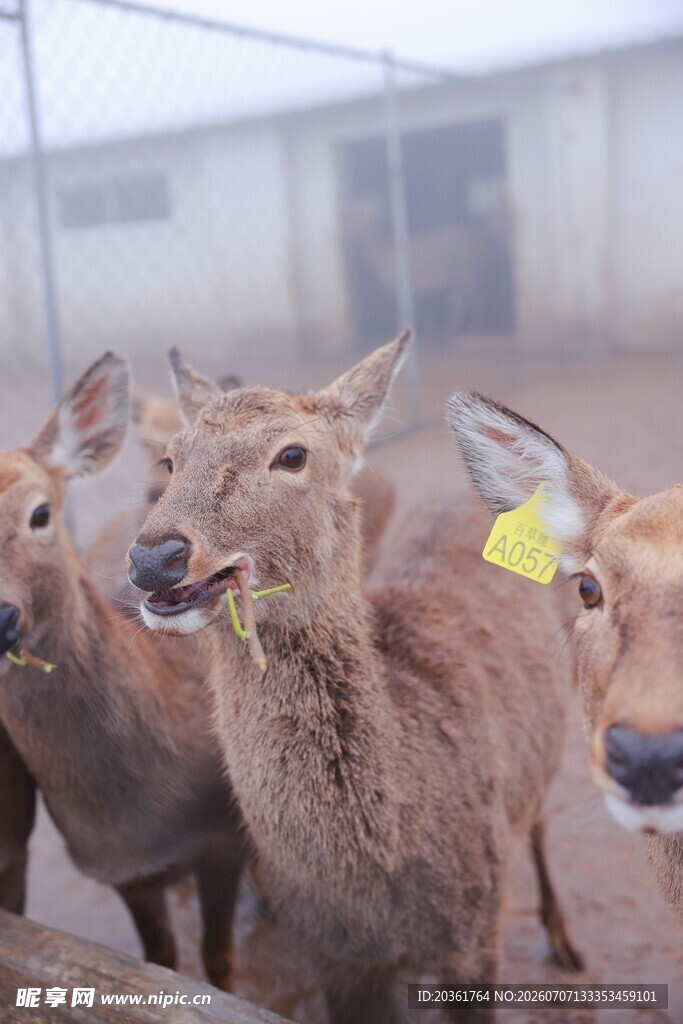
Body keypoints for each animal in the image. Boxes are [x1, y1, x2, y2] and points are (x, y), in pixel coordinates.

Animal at [0, 353, 245, 988]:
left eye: (40, 513)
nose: (0, 616)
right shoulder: (125, 873)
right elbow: (161, 960)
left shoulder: (224, 837)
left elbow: (218, 962)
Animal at [125, 332, 582, 1024]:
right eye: (169, 459)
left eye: (292, 455)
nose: (154, 557)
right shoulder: (336, 960)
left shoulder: (477, 935)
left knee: (541, 825)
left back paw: (564, 941)